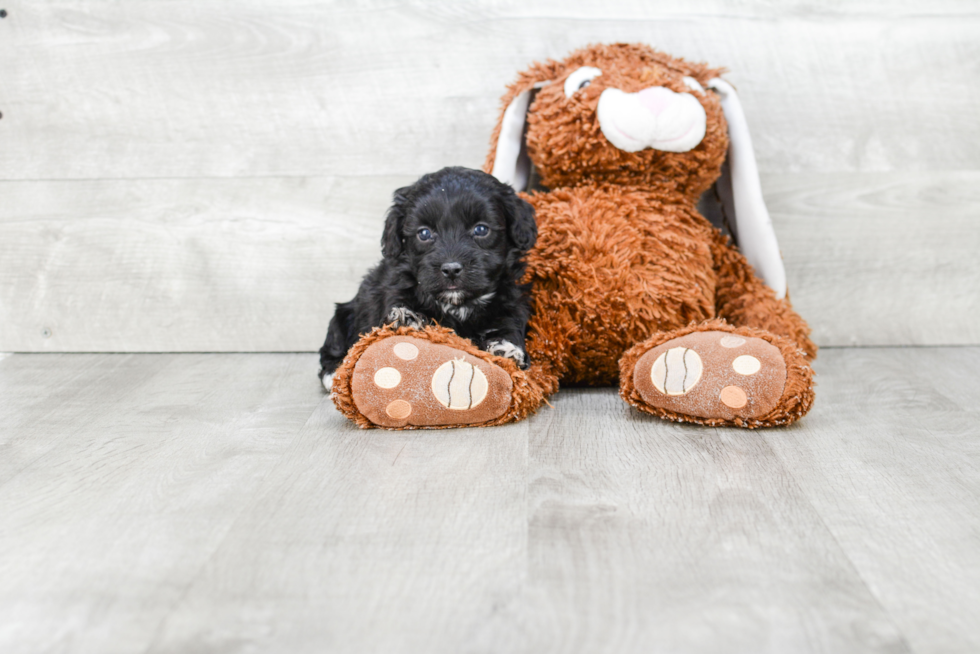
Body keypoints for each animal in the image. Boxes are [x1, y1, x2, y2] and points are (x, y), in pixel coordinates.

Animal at [320, 168, 536, 390]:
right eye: (424, 233)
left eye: (481, 229)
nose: (451, 269)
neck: (458, 304)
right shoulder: (394, 291)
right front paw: (406, 318)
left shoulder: (511, 303)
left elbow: (509, 325)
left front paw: (506, 349)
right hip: (344, 315)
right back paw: (334, 375)